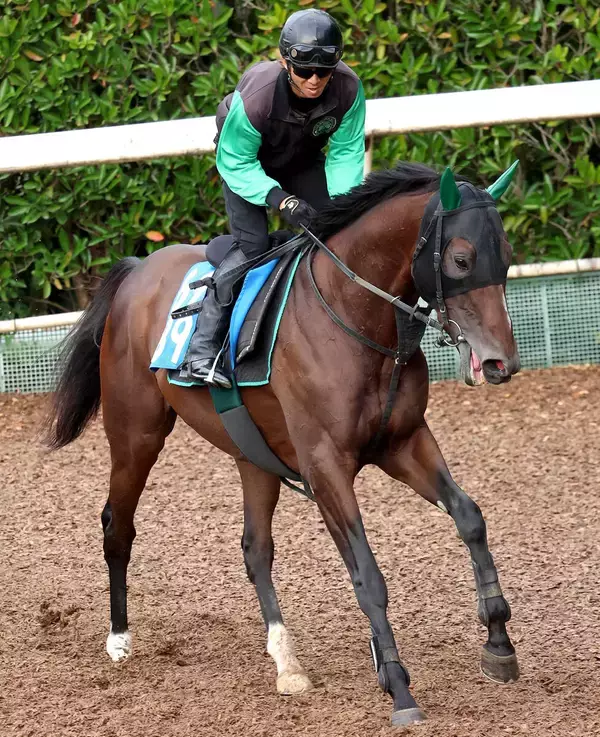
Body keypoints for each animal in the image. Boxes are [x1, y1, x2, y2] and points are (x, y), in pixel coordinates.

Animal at [45, 161, 521, 727]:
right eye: (462, 259)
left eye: (506, 256)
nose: (500, 362)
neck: (354, 318)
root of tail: (138, 270)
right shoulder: (325, 466)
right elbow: (367, 574)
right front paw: (400, 689)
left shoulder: (404, 443)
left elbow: (470, 517)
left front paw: (498, 642)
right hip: (136, 433)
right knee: (118, 525)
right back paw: (119, 638)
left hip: (252, 453)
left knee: (255, 549)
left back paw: (286, 661)